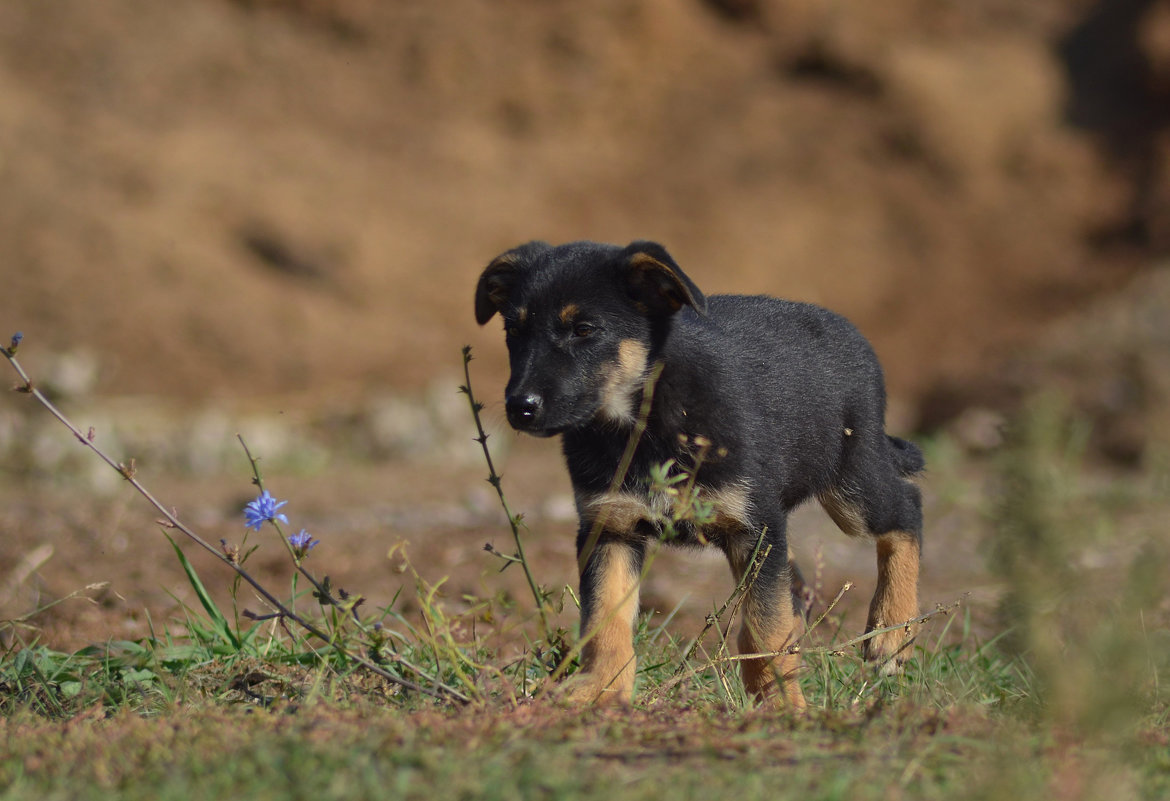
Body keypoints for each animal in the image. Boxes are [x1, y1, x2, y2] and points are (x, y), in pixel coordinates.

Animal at [475, 238, 921, 706]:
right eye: (513, 331)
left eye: (584, 329)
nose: (519, 408)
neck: (643, 422)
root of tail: (849, 331)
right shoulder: (609, 527)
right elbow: (605, 619)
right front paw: (600, 688)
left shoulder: (752, 525)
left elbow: (765, 628)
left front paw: (782, 705)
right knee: (797, 583)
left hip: (851, 483)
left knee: (906, 511)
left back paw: (892, 632)